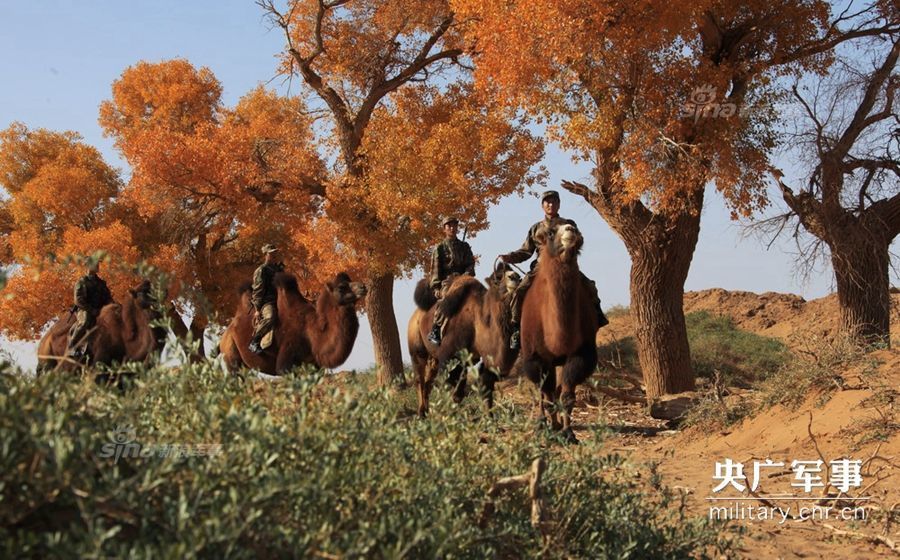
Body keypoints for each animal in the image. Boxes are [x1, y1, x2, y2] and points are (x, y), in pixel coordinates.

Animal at [220, 272, 368, 374]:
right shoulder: (286, 362)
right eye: (341, 287)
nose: (363, 286)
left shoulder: (315, 367)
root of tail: (225, 334)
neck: (312, 334)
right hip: (231, 355)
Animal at [408, 264, 520, 418]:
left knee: (428, 381)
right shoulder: (449, 356)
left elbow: (481, 385)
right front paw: (449, 415)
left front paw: (489, 417)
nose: (514, 276)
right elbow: (450, 387)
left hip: (434, 358)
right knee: (420, 379)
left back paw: (426, 411)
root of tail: (416, 316)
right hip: (417, 348)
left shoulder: (472, 359)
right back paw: (421, 413)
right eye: (497, 278)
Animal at [520, 221, 596, 444]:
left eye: (576, 228)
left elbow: (567, 397)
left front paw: (569, 433)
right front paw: (547, 429)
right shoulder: (536, 357)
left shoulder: (581, 354)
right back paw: (544, 424)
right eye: (551, 233)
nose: (570, 229)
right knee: (543, 394)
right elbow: (546, 396)